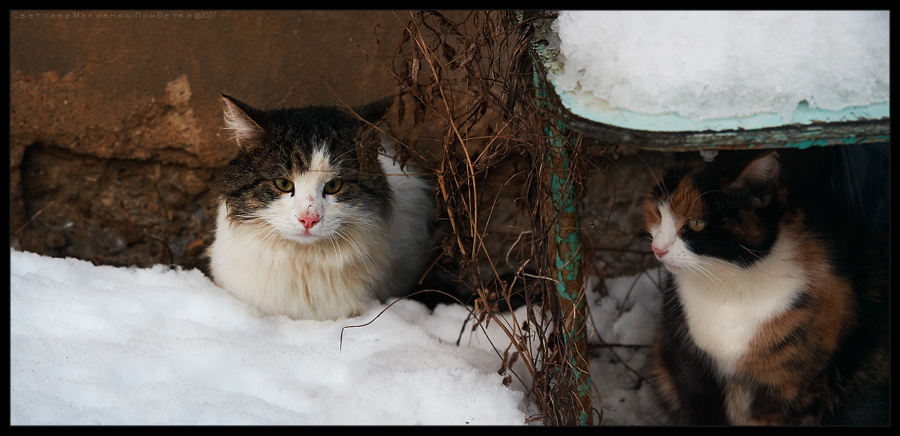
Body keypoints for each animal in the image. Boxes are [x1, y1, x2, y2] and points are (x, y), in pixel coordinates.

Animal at [644, 150, 888, 426]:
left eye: (696, 223)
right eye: (658, 212)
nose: (658, 249)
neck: (729, 286)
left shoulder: (788, 387)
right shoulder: (689, 368)